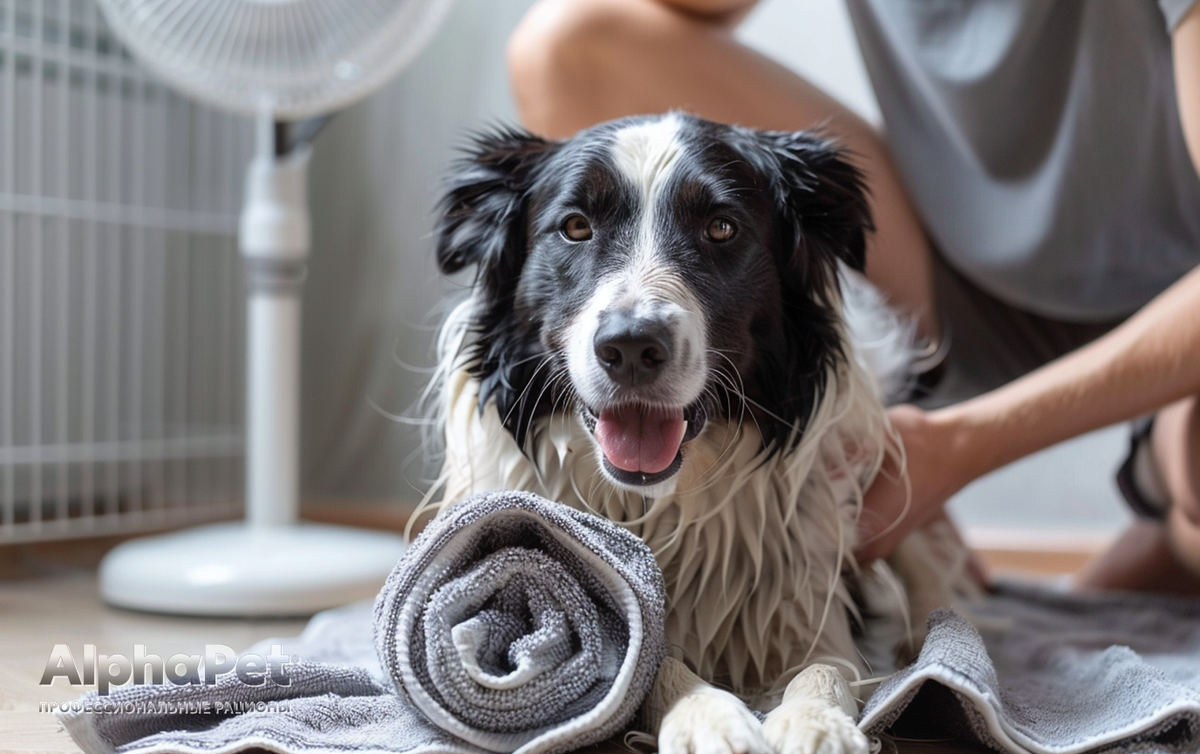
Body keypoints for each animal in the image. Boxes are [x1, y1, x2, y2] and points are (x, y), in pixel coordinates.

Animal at [417, 111, 969, 754]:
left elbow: (824, 667)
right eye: (575, 226)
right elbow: (649, 664)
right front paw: (711, 719)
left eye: (722, 228)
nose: (631, 347)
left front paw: (817, 725)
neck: (657, 502)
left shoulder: (805, 597)